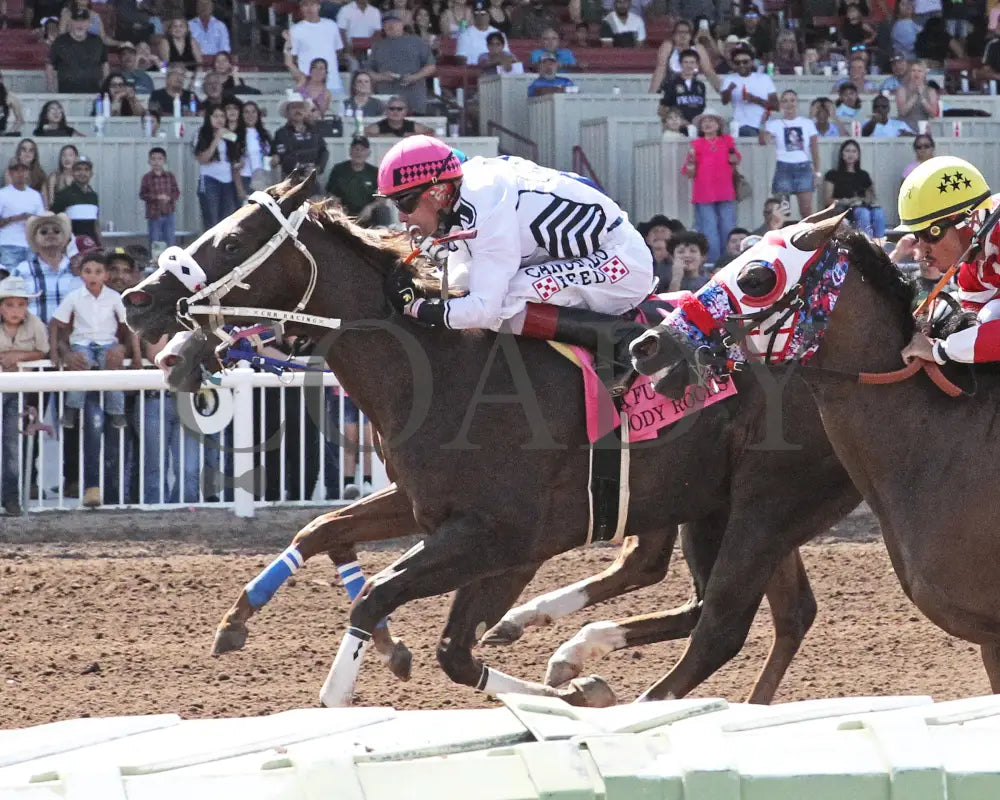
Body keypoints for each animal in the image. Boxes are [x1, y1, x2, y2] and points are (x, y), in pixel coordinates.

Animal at [123, 173, 860, 708]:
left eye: (231, 243)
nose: (139, 301)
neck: (443, 370)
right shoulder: (427, 507)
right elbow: (326, 531)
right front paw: (239, 620)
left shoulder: (507, 539)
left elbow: (393, 605)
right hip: (716, 503)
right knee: (763, 608)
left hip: (761, 505)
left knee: (730, 616)